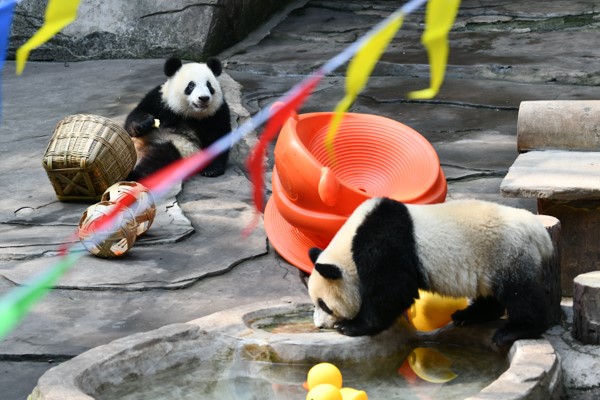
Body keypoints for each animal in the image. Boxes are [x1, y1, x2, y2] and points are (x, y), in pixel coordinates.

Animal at [310, 197, 552, 346]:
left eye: (323, 304)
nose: (319, 325)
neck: (350, 243)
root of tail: (539, 231)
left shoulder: (385, 246)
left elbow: (393, 289)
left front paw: (349, 326)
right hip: (491, 262)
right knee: (491, 294)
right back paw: (469, 315)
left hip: (507, 252)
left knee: (521, 293)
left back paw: (515, 330)